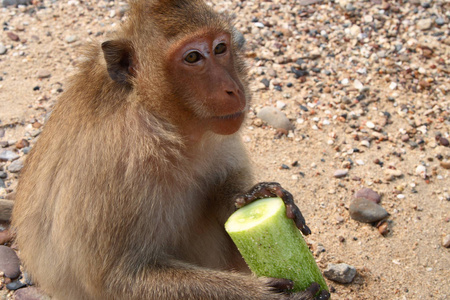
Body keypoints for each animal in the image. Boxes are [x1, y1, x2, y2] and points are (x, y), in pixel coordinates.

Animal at [11, 1, 330, 298]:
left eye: (220, 48)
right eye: (193, 57)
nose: (233, 88)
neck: (167, 124)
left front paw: (254, 195)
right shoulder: (115, 168)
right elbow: (118, 279)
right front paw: (263, 295)